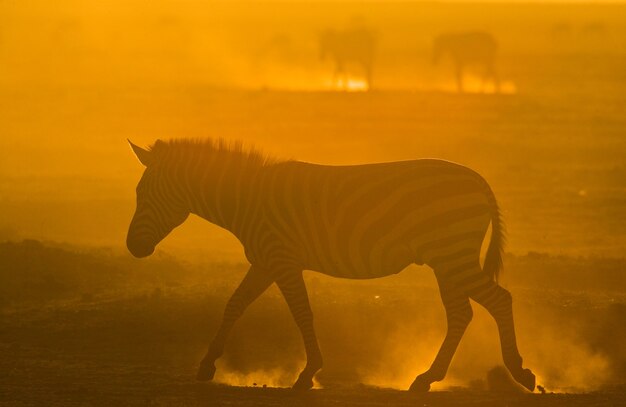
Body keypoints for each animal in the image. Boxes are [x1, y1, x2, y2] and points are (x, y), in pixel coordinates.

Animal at [125, 139, 532, 392]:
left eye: (142, 194)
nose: (132, 247)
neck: (247, 199)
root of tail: (478, 179)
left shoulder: (283, 260)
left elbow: (302, 313)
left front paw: (308, 374)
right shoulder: (265, 262)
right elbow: (234, 305)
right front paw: (207, 365)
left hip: (451, 256)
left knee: (498, 300)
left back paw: (518, 372)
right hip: (447, 260)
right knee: (462, 313)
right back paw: (428, 377)